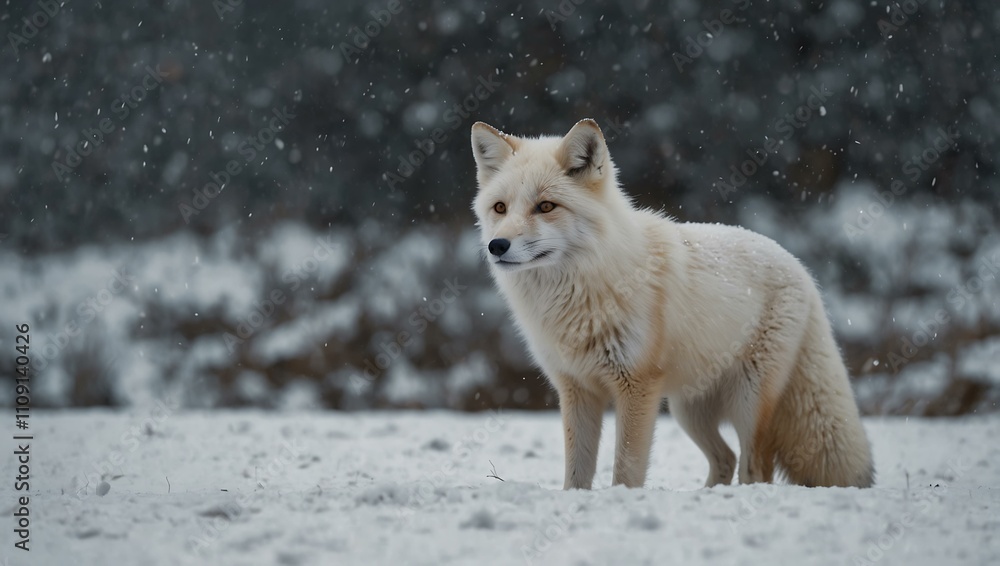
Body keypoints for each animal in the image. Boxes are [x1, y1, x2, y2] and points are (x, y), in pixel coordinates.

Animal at [470, 119, 874, 489]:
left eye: (545, 206)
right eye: (500, 208)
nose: (497, 246)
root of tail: (801, 268)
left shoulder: (636, 386)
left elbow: (626, 469)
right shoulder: (577, 389)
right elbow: (577, 474)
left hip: (747, 401)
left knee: (755, 469)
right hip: (688, 409)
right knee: (726, 459)